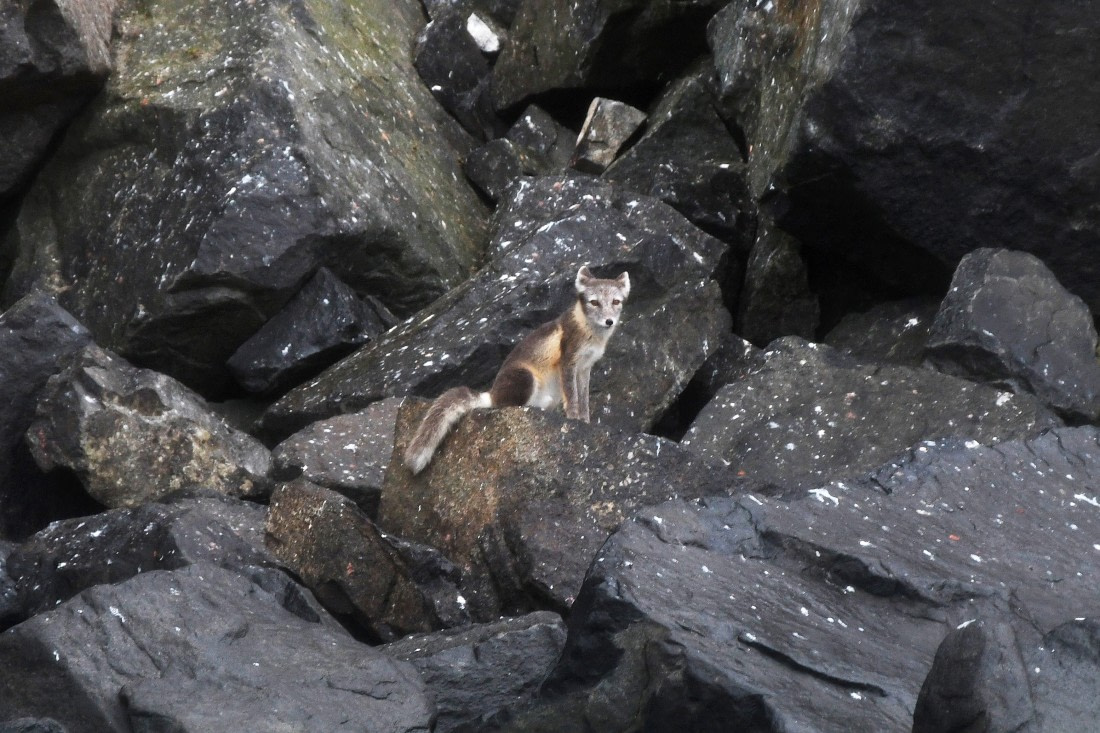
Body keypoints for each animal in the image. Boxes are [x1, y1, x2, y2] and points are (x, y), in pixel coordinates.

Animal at [403, 265, 631, 474]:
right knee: (508, 406)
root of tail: (492, 394)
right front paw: (574, 419)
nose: (609, 321)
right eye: (594, 302)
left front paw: (585, 421)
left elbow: (584, 398)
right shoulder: (569, 361)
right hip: (526, 377)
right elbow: (572, 396)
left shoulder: (585, 368)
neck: (589, 333)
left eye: (615, 302)